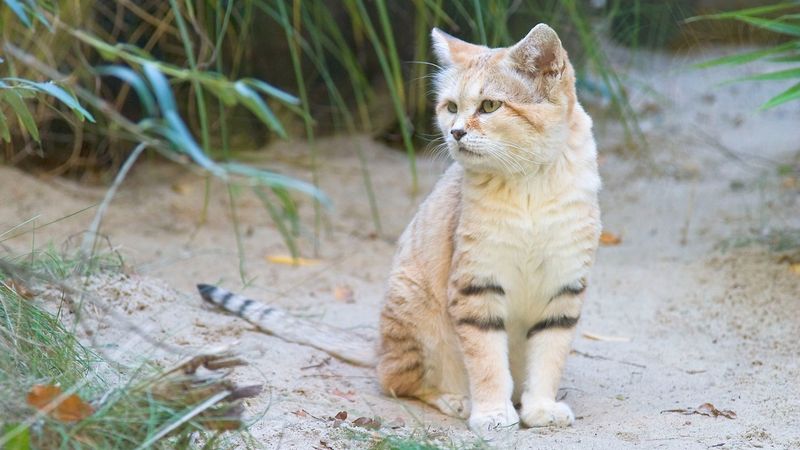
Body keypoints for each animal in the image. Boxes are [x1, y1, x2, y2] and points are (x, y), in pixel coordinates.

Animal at [200, 22, 600, 434]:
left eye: (490, 106)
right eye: (451, 107)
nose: (455, 132)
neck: (528, 184)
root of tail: (378, 347)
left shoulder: (564, 285)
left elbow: (549, 357)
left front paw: (540, 408)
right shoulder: (477, 284)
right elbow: (487, 360)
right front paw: (491, 412)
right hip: (412, 311)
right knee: (395, 380)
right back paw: (455, 399)